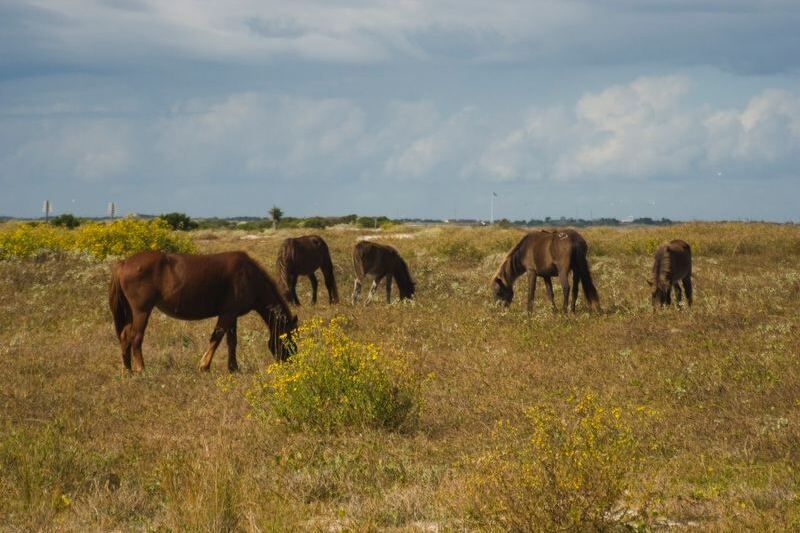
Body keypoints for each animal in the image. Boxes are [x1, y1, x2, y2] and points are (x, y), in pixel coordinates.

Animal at [108, 251, 298, 373]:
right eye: (289, 339)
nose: (290, 362)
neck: (250, 276)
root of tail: (124, 263)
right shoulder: (227, 314)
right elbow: (216, 338)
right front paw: (204, 366)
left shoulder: (233, 316)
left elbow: (232, 341)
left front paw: (233, 368)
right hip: (141, 311)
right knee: (136, 338)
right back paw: (141, 369)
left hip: (132, 313)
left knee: (125, 336)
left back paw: (127, 370)